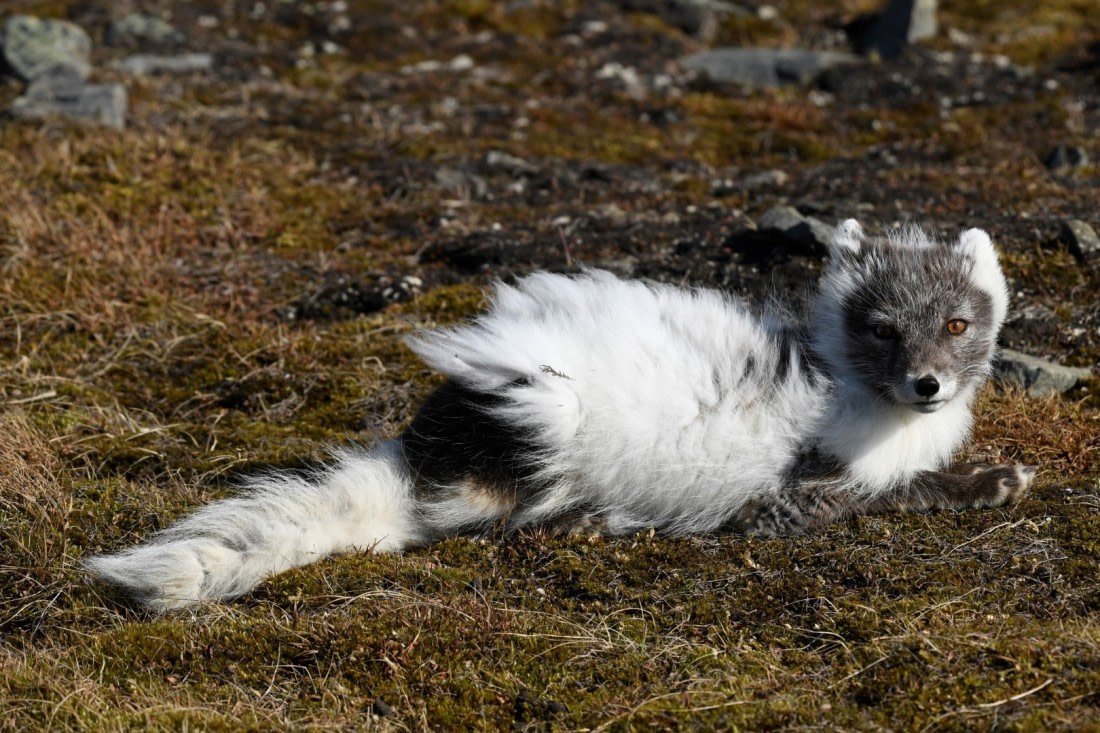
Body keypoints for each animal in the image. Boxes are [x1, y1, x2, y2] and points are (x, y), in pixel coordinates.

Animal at [86, 219, 1035, 611]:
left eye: (958, 323)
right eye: (882, 328)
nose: (928, 385)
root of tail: (421, 452)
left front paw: (990, 474)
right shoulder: (811, 481)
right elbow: (887, 494)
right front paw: (990, 482)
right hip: (544, 402)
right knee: (483, 512)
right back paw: (583, 519)